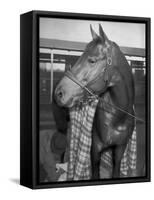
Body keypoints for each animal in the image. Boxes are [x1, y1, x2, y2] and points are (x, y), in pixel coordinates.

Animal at [54, 24, 135, 179]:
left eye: (92, 60)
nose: (59, 93)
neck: (117, 117)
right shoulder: (95, 149)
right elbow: (95, 173)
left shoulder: (120, 149)